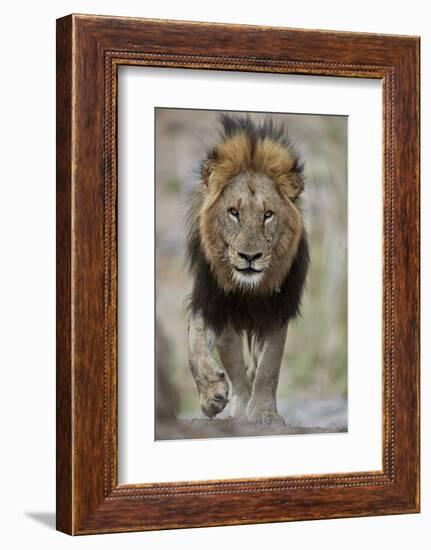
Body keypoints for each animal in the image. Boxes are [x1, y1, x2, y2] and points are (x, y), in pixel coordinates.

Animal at [187, 115, 308, 426]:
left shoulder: (277, 308)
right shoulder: (211, 302)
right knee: (237, 372)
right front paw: (211, 394)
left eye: (268, 215)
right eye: (233, 212)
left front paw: (265, 413)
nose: (249, 257)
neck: (247, 289)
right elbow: (195, 346)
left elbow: (269, 366)